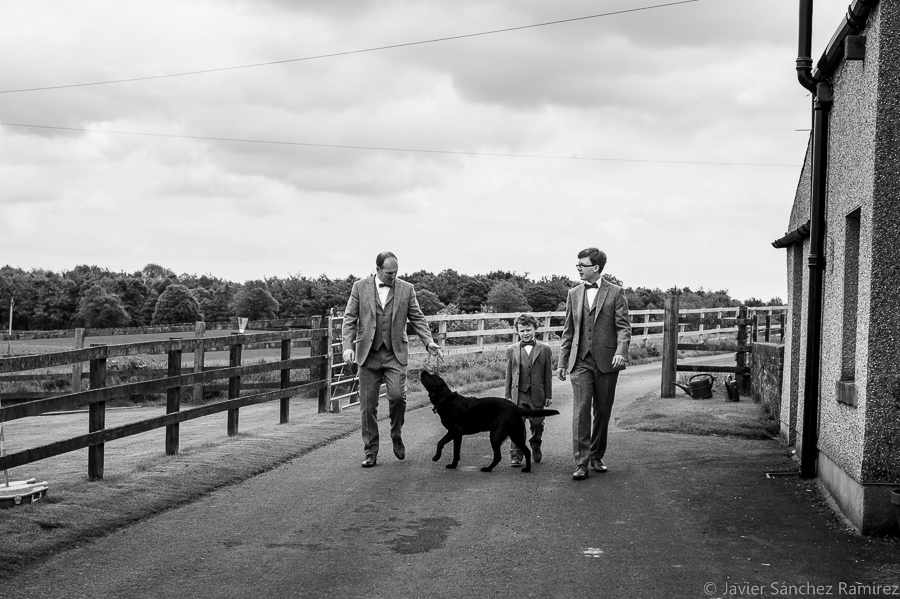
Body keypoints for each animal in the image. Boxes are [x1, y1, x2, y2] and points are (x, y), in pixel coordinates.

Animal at [420, 370, 560, 474]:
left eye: (430, 376)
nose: (422, 370)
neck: (445, 399)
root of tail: (515, 407)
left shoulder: (454, 431)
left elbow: (440, 442)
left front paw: (436, 457)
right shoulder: (457, 435)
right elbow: (456, 452)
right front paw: (453, 465)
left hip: (496, 435)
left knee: (498, 456)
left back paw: (488, 468)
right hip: (516, 435)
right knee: (526, 451)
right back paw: (527, 469)